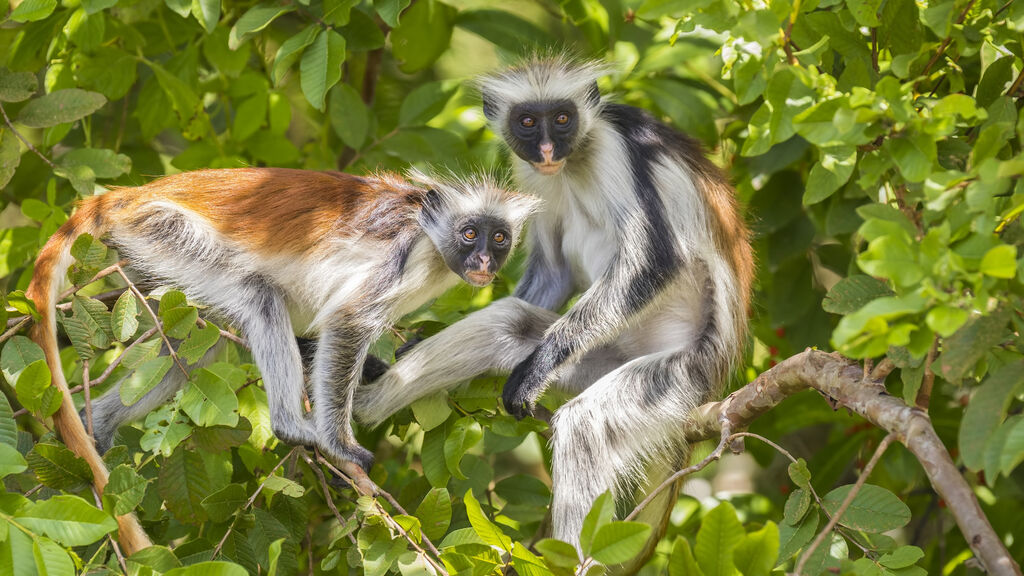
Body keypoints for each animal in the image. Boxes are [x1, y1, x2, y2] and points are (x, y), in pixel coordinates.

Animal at [25, 166, 536, 553]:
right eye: (469, 234)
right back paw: (293, 426)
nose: (484, 261)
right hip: (162, 230)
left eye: (499, 237)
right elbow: (346, 322)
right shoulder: (400, 255)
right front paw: (339, 445)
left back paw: (98, 425)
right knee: (259, 295)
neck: (428, 233)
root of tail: (131, 194)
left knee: (197, 345)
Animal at [356, 60, 757, 561]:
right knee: (509, 322)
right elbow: (552, 272)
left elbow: (656, 259)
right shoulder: (532, 174)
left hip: (682, 371)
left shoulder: (615, 148)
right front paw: (416, 343)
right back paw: (357, 409)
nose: (547, 149)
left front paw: (539, 365)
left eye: (563, 119)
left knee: (585, 425)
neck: (574, 159)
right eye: (528, 122)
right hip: (600, 357)